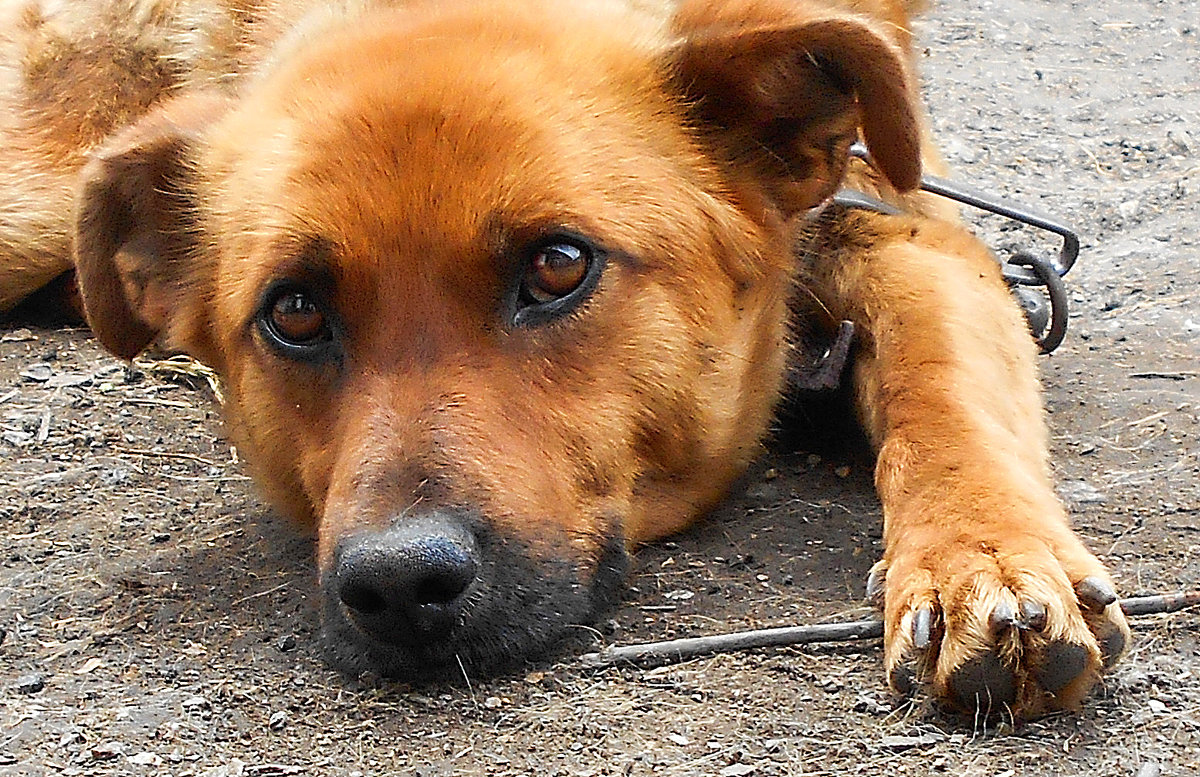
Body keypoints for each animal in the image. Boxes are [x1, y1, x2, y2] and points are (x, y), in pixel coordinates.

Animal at [0, 0, 1128, 714]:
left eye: (556, 267)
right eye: (297, 314)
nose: (400, 586)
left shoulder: (904, 223)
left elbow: (947, 394)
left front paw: (982, 556)